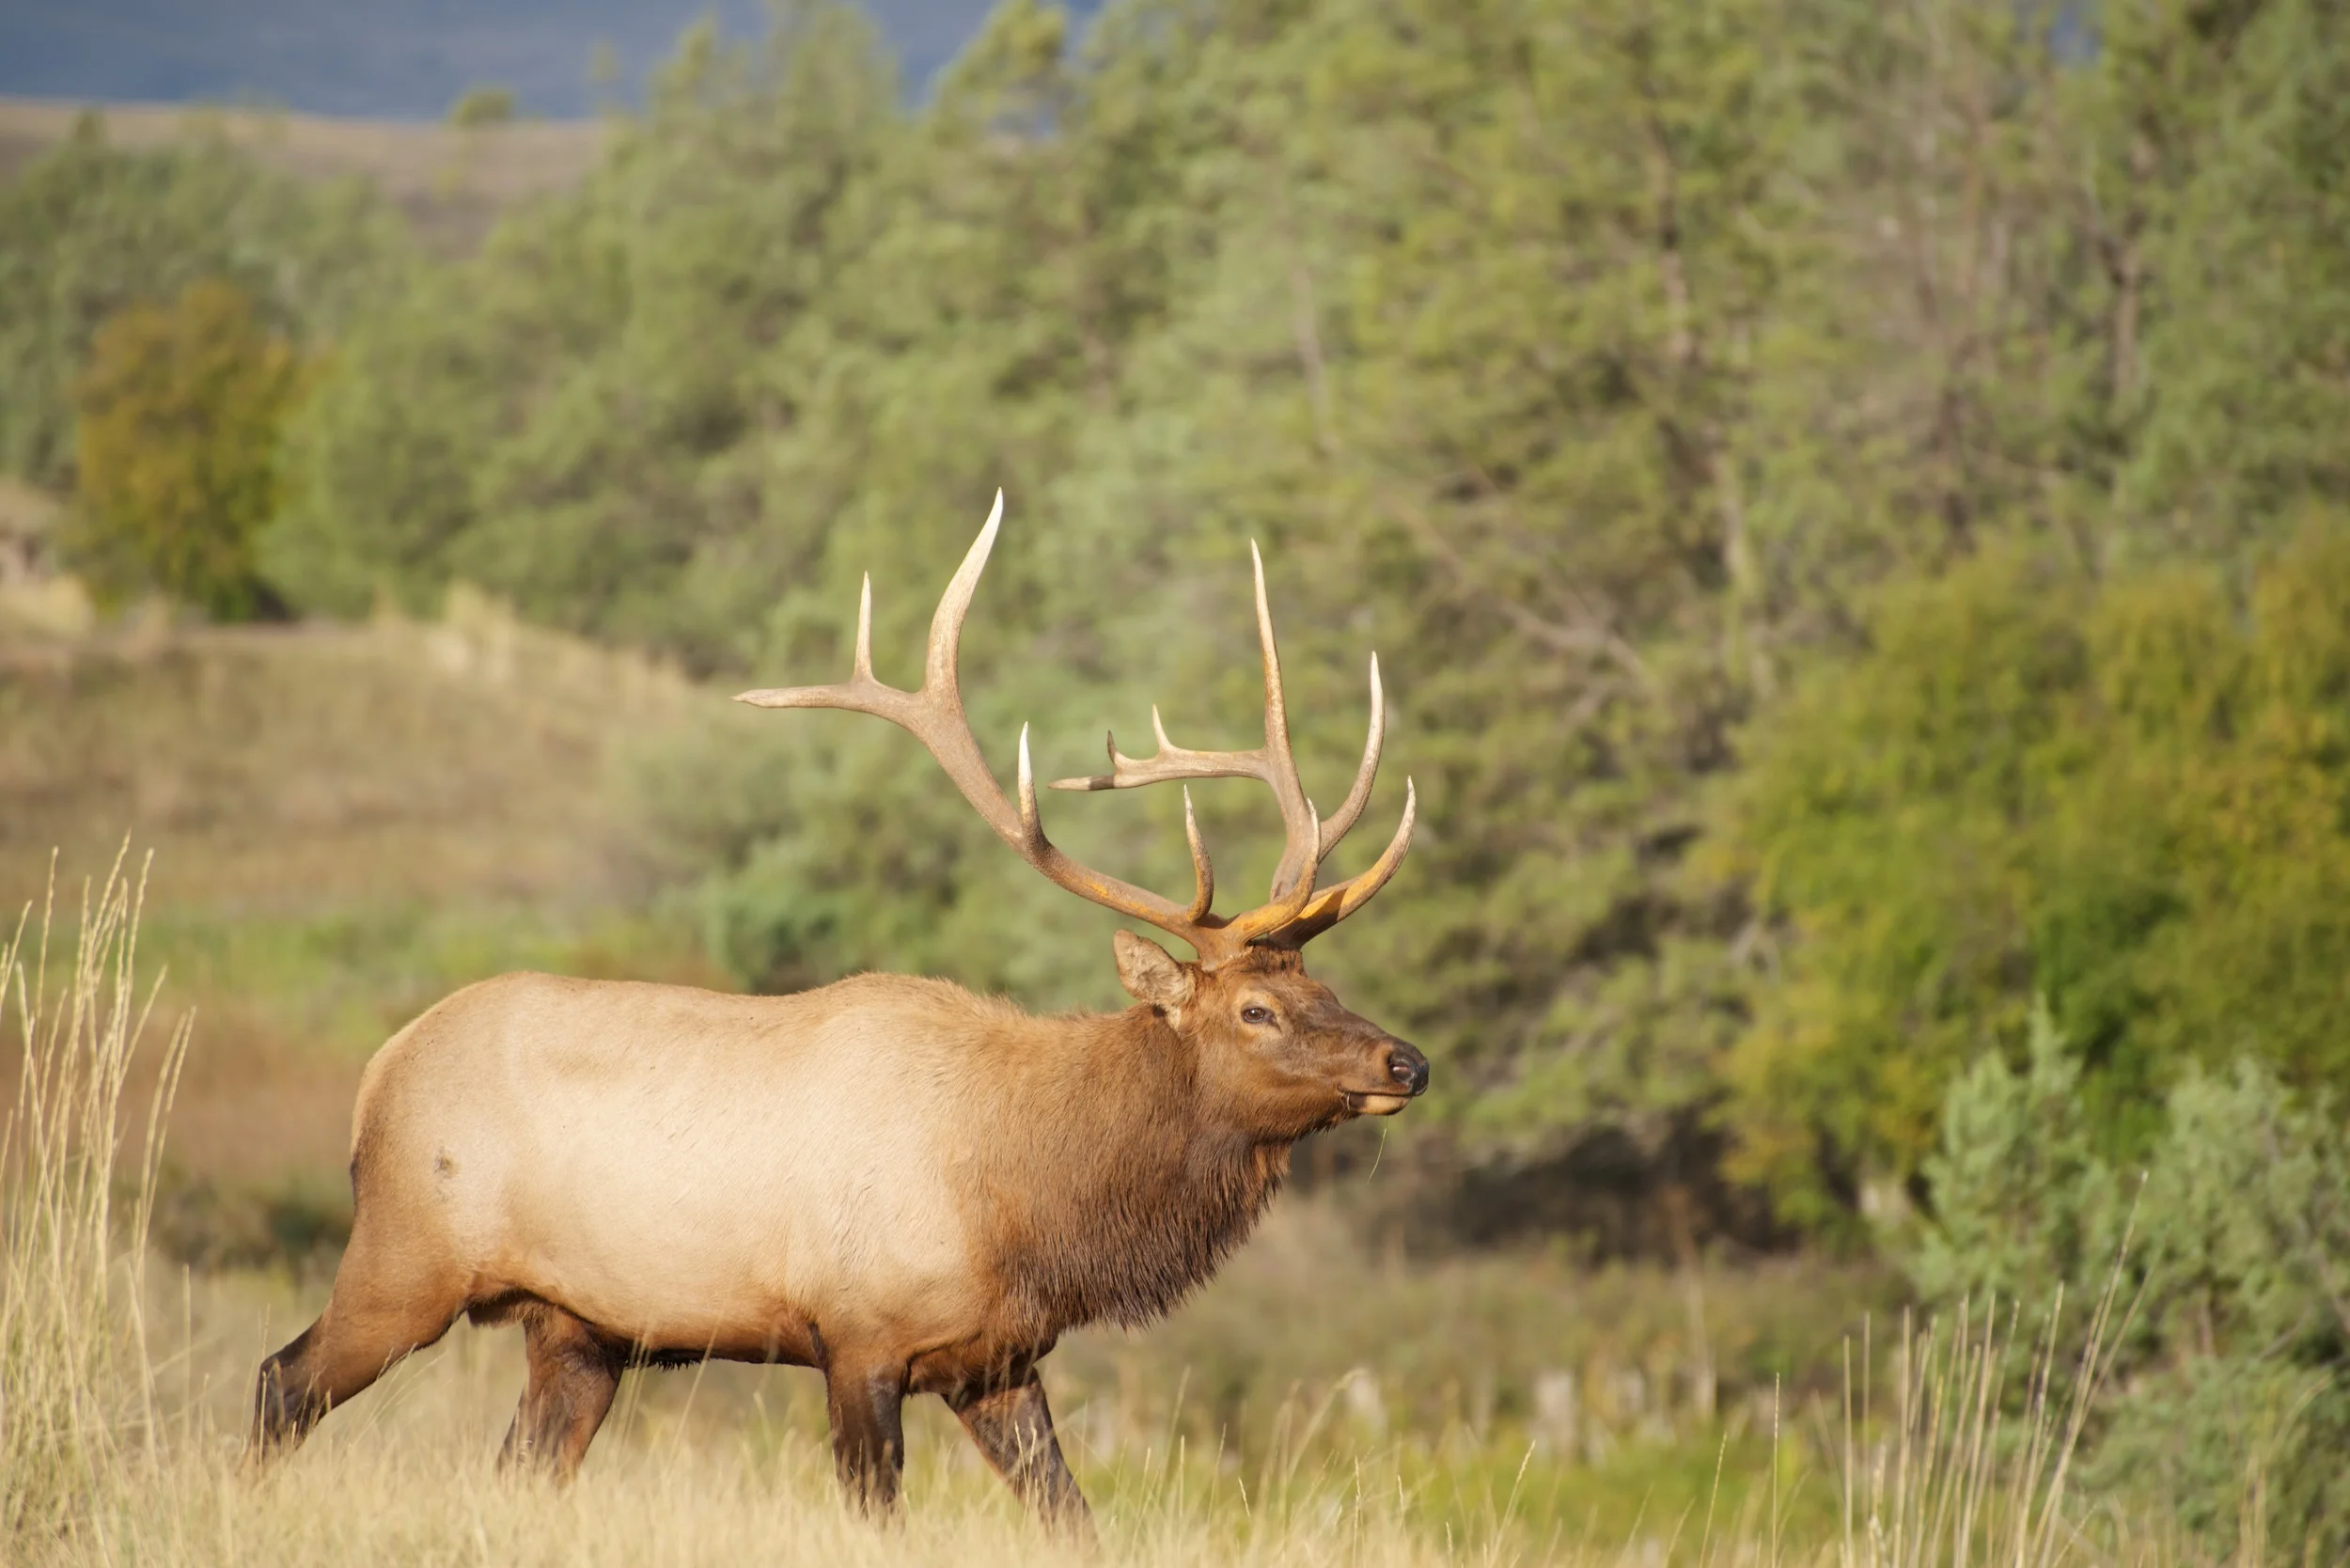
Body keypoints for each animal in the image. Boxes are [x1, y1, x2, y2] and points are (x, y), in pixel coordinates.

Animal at [247, 493, 1426, 1535]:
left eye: (1325, 989)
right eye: (1257, 1009)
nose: (1405, 1062)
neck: (1027, 1202)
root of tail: (375, 1073)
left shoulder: (999, 1361)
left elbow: (1074, 1520)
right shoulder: (859, 1337)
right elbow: (878, 1515)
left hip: (576, 1329)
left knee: (517, 1467)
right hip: (406, 1258)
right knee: (280, 1381)